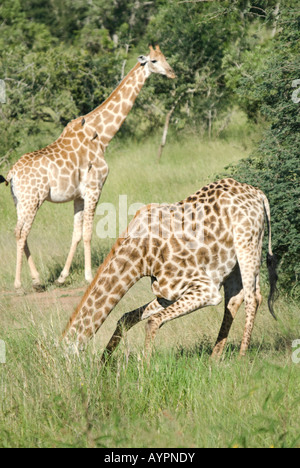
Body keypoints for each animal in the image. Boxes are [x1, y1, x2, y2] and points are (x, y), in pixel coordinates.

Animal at [0, 44, 176, 292]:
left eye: (165, 57)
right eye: (153, 61)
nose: (172, 73)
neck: (102, 136)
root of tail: (12, 174)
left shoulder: (78, 195)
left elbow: (75, 233)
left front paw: (62, 276)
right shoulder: (95, 188)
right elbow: (88, 233)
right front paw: (88, 275)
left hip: (19, 201)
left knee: (21, 232)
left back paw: (36, 279)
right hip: (32, 200)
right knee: (21, 232)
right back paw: (19, 283)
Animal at [61, 178, 278, 358]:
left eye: (65, 359)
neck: (141, 257)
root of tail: (258, 193)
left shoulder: (206, 290)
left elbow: (152, 321)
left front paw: (144, 370)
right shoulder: (167, 293)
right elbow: (127, 317)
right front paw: (103, 365)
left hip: (247, 244)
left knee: (253, 298)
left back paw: (241, 357)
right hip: (232, 263)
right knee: (234, 299)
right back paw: (214, 359)